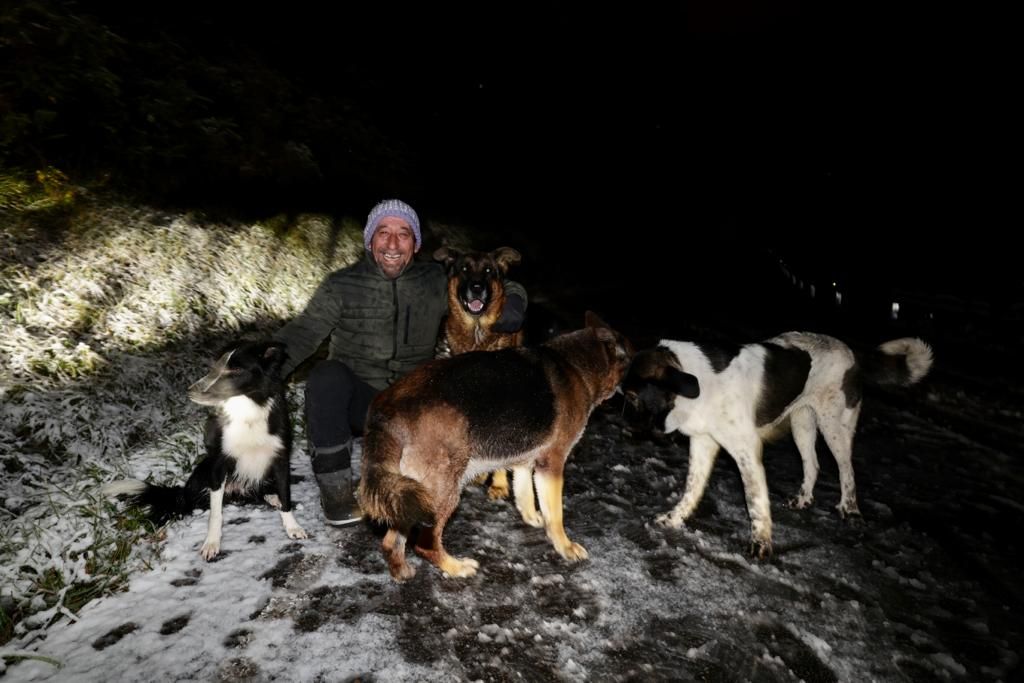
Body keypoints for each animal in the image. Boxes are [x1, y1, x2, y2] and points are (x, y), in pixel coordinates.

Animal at [103, 342, 305, 561]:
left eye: (236, 370)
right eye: (215, 367)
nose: (190, 391)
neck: (247, 412)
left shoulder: (280, 458)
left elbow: (286, 495)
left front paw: (292, 526)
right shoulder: (218, 464)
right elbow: (215, 513)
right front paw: (212, 543)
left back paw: (271, 497)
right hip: (202, 471)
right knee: (183, 504)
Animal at [358, 313, 630, 581]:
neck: (575, 365)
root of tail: (386, 407)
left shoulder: (523, 459)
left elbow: (524, 492)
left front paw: (532, 516)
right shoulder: (551, 463)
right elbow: (555, 515)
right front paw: (564, 546)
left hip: (412, 495)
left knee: (391, 540)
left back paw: (401, 571)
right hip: (441, 491)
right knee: (425, 543)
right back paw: (455, 568)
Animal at [618, 331, 933, 561]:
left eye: (632, 397)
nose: (624, 425)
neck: (698, 382)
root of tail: (851, 351)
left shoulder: (747, 452)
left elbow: (755, 502)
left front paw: (760, 544)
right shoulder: (703, 443)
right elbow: (691, 488)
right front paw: (674, 519)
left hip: (835, 426)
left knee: (847, 470)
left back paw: (850, 510)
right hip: (802, 423)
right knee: (812, 463)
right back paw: (803, 500)